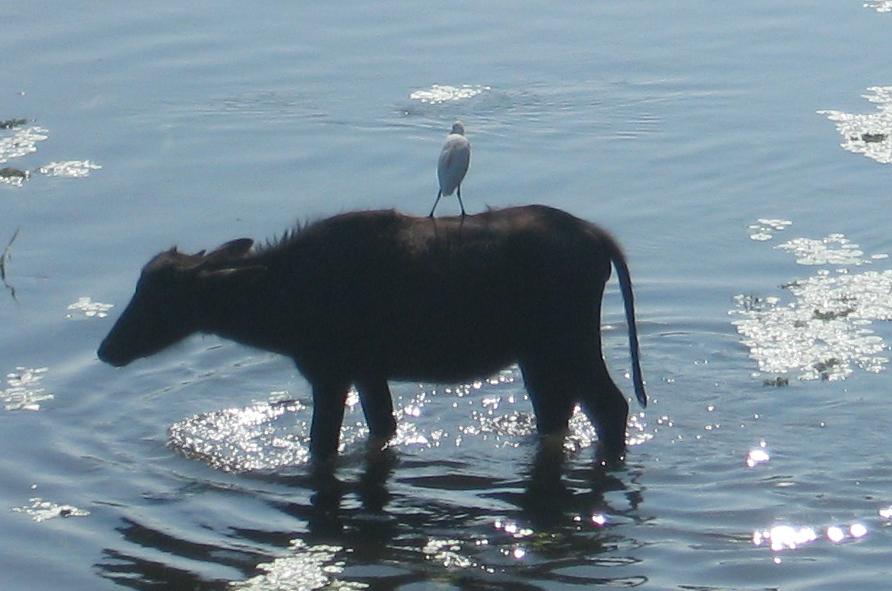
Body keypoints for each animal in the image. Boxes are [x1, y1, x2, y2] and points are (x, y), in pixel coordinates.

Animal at [97, 206, 648, 464]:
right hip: (542, 354)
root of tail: (601, 241)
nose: (107, 349)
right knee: (562, 411)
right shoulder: (368, 372)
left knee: (610, 406)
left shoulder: (330, 372)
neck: (278, 303)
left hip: (565, 343)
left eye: (159, 295)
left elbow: (322, 445)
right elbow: (382, 426)